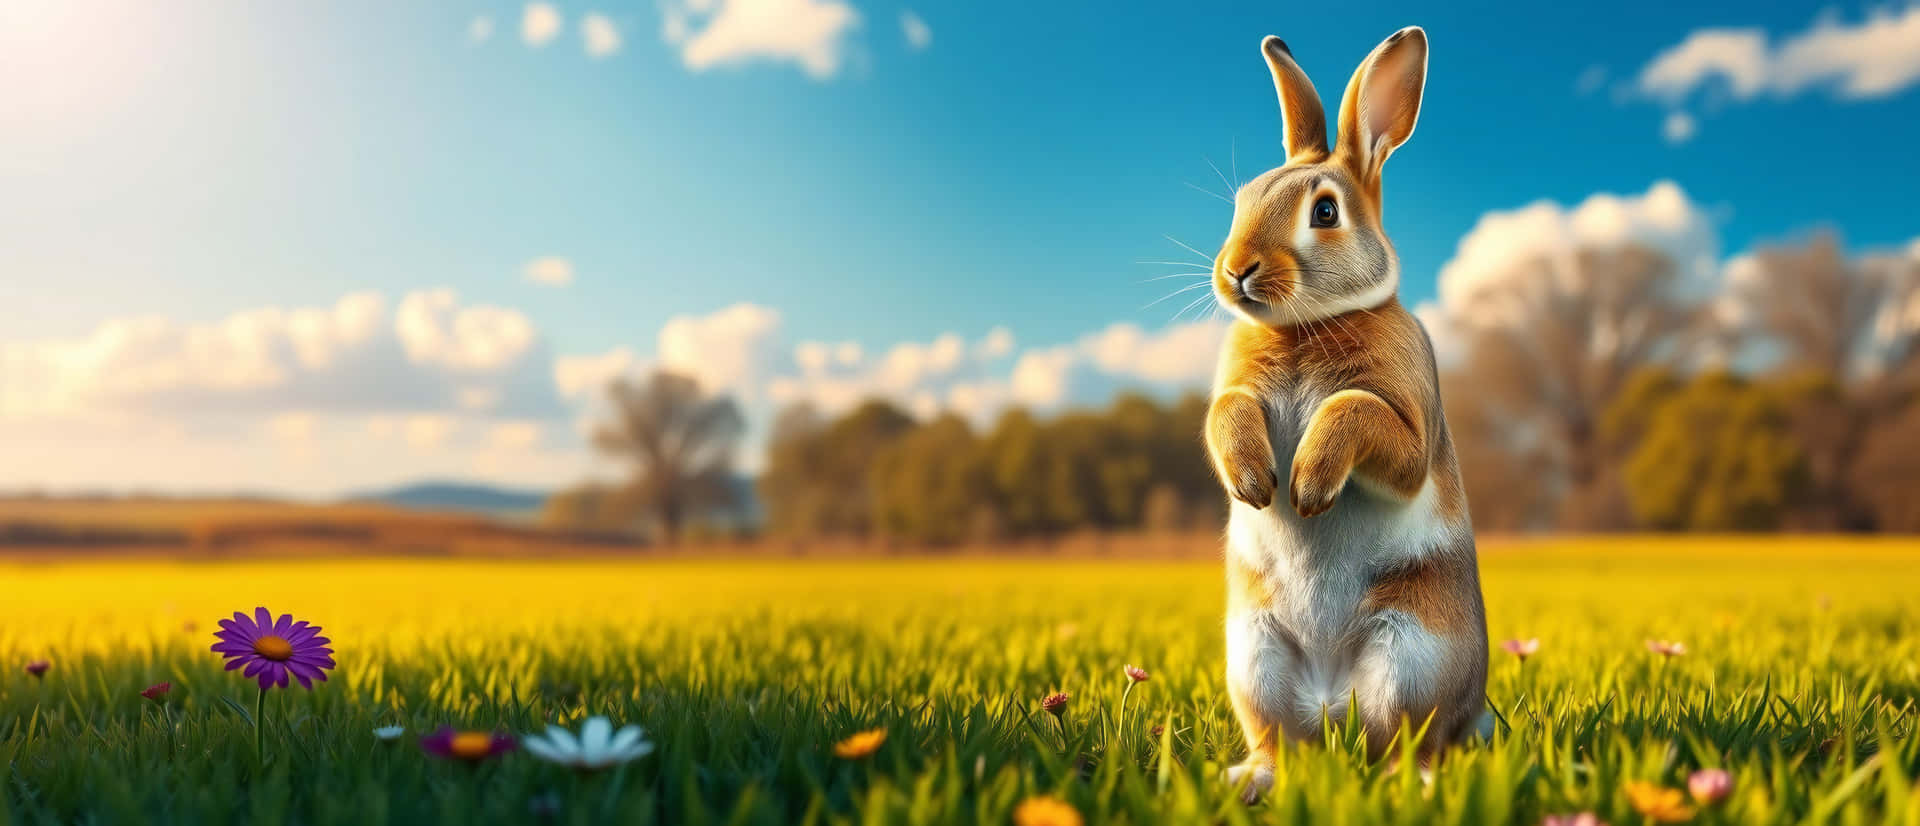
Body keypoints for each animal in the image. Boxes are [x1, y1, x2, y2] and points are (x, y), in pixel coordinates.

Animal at [1204, 27, 1488, 799]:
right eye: (1243, 199)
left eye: (1325, 212)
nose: (1236, 270)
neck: (1306, 325)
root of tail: (1330, 696)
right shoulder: (1233, 392)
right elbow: (1225, 411)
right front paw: (1254, 482)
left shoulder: (1407, 422)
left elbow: (1356, 409)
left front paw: (1305, 485)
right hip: (1255, 657)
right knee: (1280, 740)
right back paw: (1251, 779)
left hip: (1413, 655)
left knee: (1409, 739)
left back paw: (1410, 787)